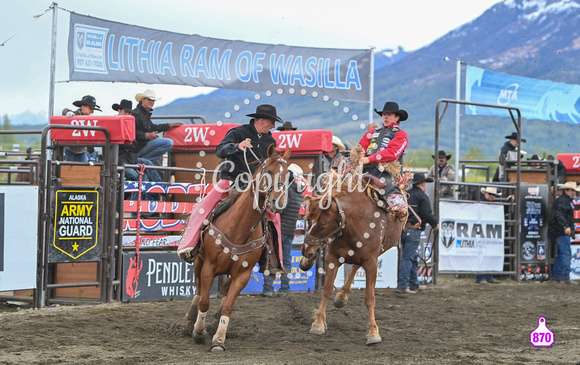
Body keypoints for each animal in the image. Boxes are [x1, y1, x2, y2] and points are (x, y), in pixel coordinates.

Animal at [186, 144, 292, 350]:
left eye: (288, 175)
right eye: (269, 171)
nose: (279, 202)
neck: (239, 227)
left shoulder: (243, 274)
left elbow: (228, 306)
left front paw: (219, 339)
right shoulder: (209, 266)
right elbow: (204, 300)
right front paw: (199, 331)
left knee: (224, 290)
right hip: (199, 261)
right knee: (198, 288)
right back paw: (191, 319)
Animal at [300, 173, 408, 344]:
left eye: (322, 226)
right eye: (308, 221)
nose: (306, 251)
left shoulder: (371, 262)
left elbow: (369, 298)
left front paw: (373, 332)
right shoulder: (332, 258)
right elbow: (327, 289)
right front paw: (318, 323)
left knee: (356, 267)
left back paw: (342, 296)